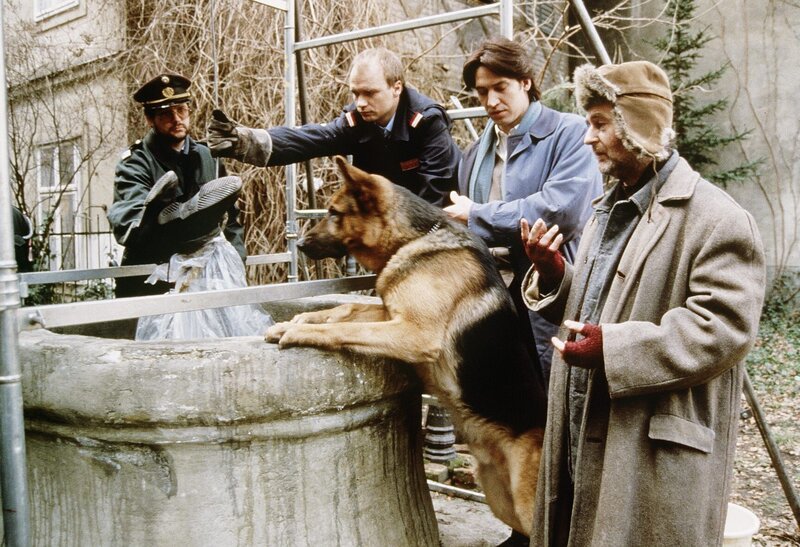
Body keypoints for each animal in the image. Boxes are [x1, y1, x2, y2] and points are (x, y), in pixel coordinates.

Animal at [266, 156, 547, 537]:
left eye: (334, 212)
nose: (299, 245)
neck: (415, 240)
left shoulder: (414, 332)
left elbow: (347, 328)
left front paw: (298, 332)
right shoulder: (390, 313)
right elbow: (344, 309)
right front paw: (296, 320)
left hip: (528, 505)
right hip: (498, 496)